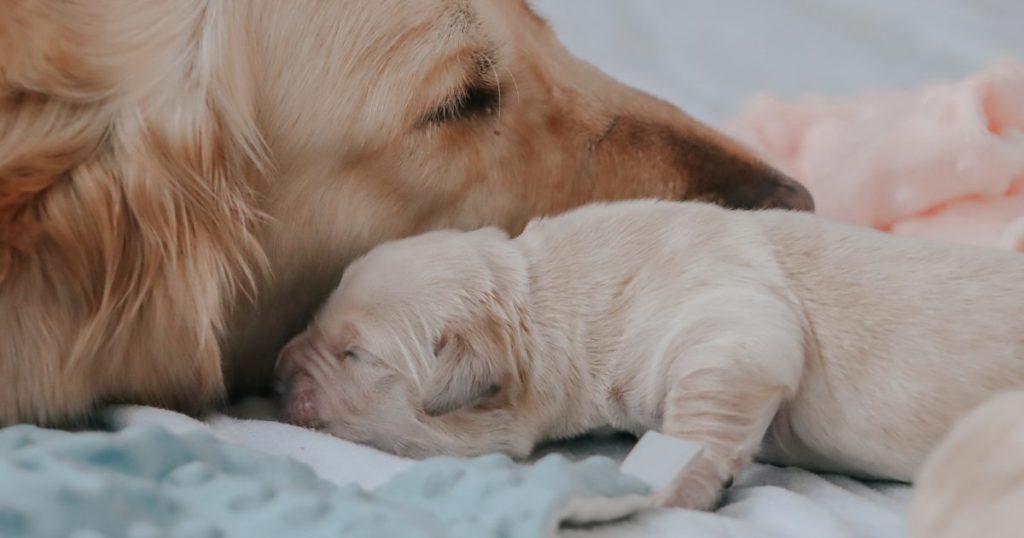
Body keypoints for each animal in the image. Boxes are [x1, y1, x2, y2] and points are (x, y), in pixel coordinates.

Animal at [276, 200, 1024, 510]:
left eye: (354, 354)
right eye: (318, 322)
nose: (277, 374)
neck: (538, 293)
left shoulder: (733, 317)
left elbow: (708, 401)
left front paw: (672, 487)